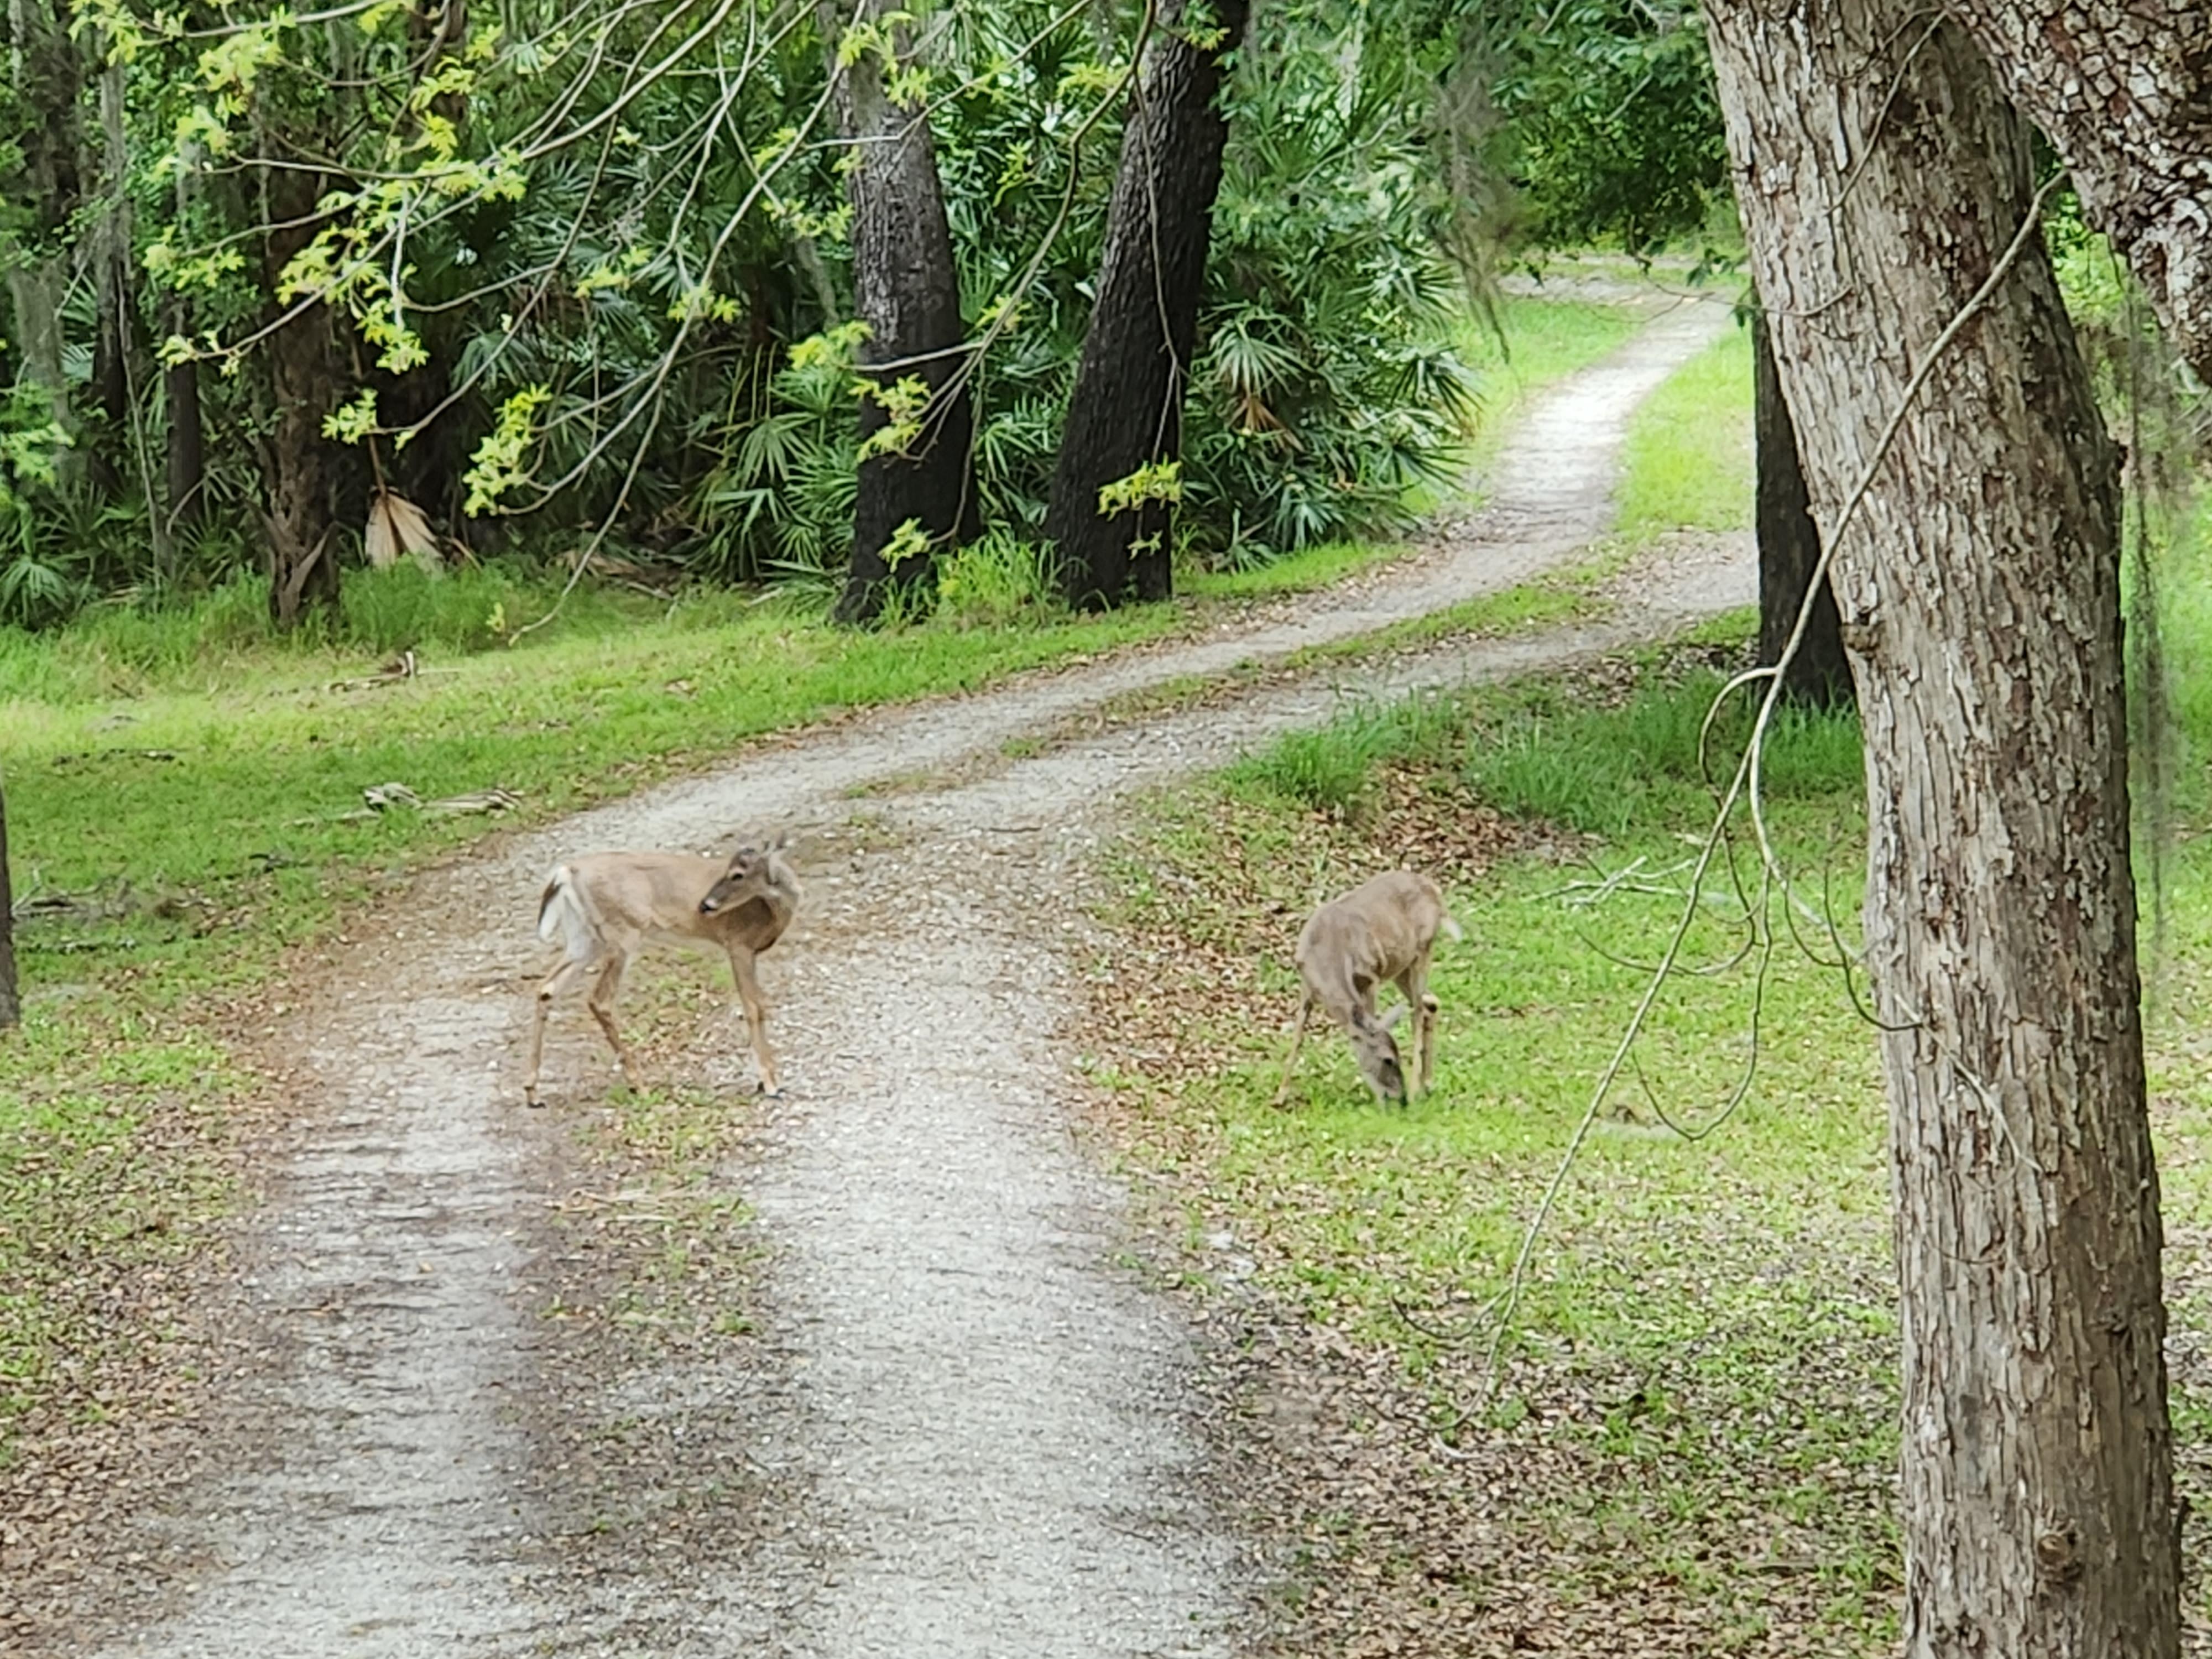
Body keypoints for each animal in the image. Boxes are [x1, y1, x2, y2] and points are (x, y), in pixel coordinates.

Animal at [523, 834, 802, 1107]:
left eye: (738, 874)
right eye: (731, 870)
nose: (705, 905)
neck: (772, 911)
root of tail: (567, 872)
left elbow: (760, 1005)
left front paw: (767, 1080)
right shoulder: (738, 945)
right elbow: (754, 1008)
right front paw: (770, 1084)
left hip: (585, 939)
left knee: (546, 988)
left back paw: (533, 1093)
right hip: (623, 933)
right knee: (599, 1000)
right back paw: (640, 1085)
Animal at [1275, 869, 1461, 1108]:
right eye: (1388, 1059)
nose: (1399, 1097)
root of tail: (1435, 890)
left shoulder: (1370, 976)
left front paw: (1379, 1099)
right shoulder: (1307, 986)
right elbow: (1298, 1036)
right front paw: (1280, 1095)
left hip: (1423, 949)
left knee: (1419, 1011)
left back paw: (1415, 1091)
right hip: (1402, 968)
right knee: (1431, 1003)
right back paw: (1426, 1085)